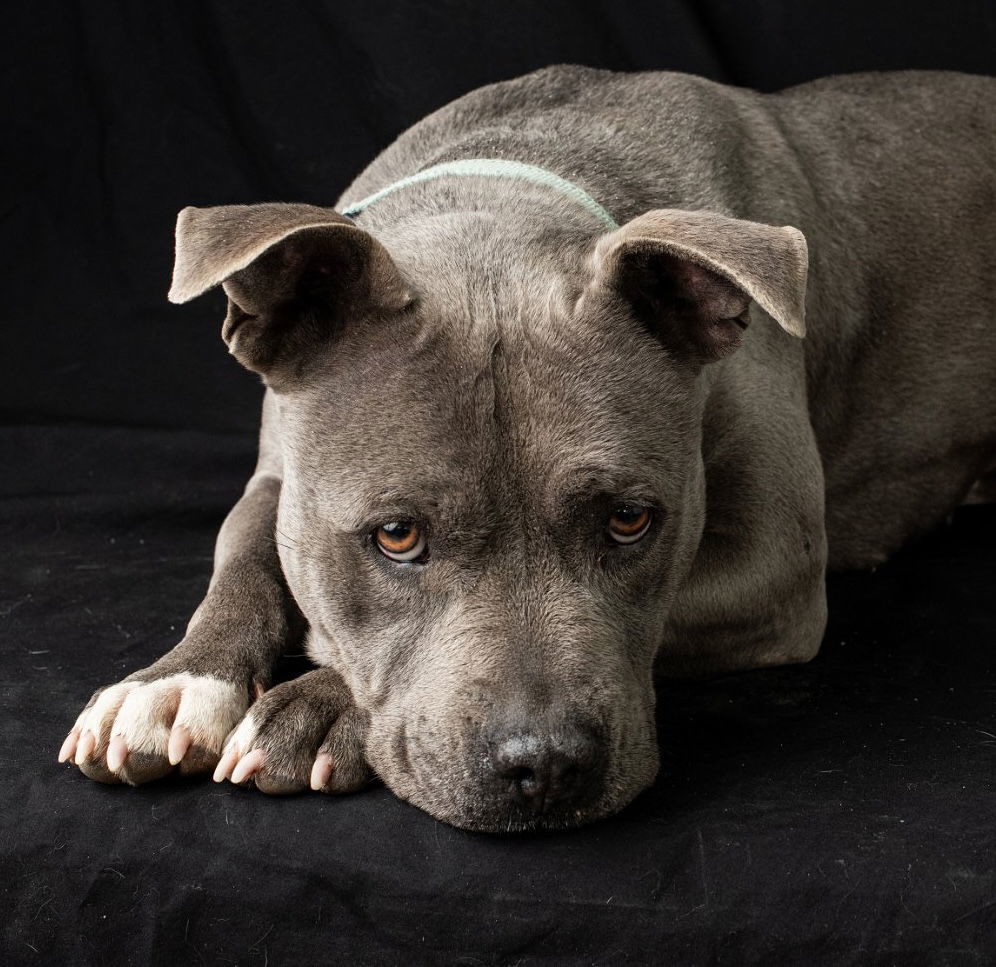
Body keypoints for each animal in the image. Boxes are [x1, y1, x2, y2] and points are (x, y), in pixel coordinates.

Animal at [56, 66, 996, 832]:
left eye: (630, 519)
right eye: (395, 536)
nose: (544, 765)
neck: (498, 203)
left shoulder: (779, 562)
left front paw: (322, 704)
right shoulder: (279, 479)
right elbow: (243, 561)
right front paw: (176, 681)